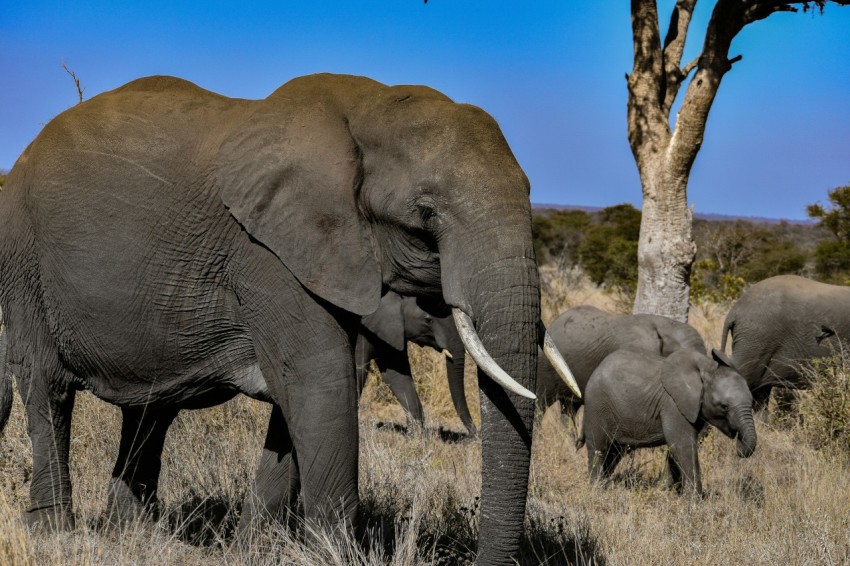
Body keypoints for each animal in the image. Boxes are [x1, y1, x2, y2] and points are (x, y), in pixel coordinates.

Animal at [356, 290, 476, 434]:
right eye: (428, 320)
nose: (475, 433)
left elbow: (396, 374)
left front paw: (416, 436)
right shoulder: (363, 329)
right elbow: (358, 368)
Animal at [578, 349, 757, 495]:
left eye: (752, 402)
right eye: (724, 406)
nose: (739, 445)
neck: (706, 368)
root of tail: (597, 368)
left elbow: (677, 447)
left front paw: (663, 492)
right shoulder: (673, 404)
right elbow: (682, 444)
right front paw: (694, 502)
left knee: (614, 452)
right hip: (597, 405)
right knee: (599, 448)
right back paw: (597, 490)